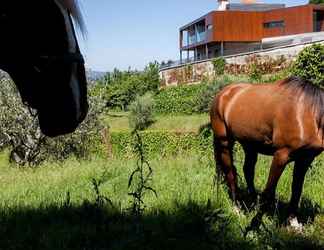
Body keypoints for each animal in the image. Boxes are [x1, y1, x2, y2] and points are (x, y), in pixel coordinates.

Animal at [210, 77, 324, 224]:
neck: (308, 114)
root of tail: (222, 94)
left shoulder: (305, 158)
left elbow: (296, 190)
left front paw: (294, 223)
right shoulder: (281, 155)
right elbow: (269, 191)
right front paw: (256, 223)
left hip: (249, 145)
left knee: (248, 171)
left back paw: (253, 203)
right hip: (224, 142)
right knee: (230, 173)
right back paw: (237, 209)